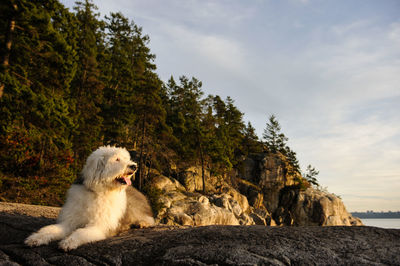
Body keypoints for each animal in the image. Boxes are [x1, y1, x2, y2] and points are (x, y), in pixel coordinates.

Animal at [23, 147, 155, 250]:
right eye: (117, 159)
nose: (134, 166)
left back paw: (142, 223)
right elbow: (51, 229)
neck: (99, 191)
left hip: (137, 208)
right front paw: (35, 238)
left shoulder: (99, 225)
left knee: (150, 219)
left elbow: (81, 232)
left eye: (126, 158)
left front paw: (68, 242)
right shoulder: (70, 221)